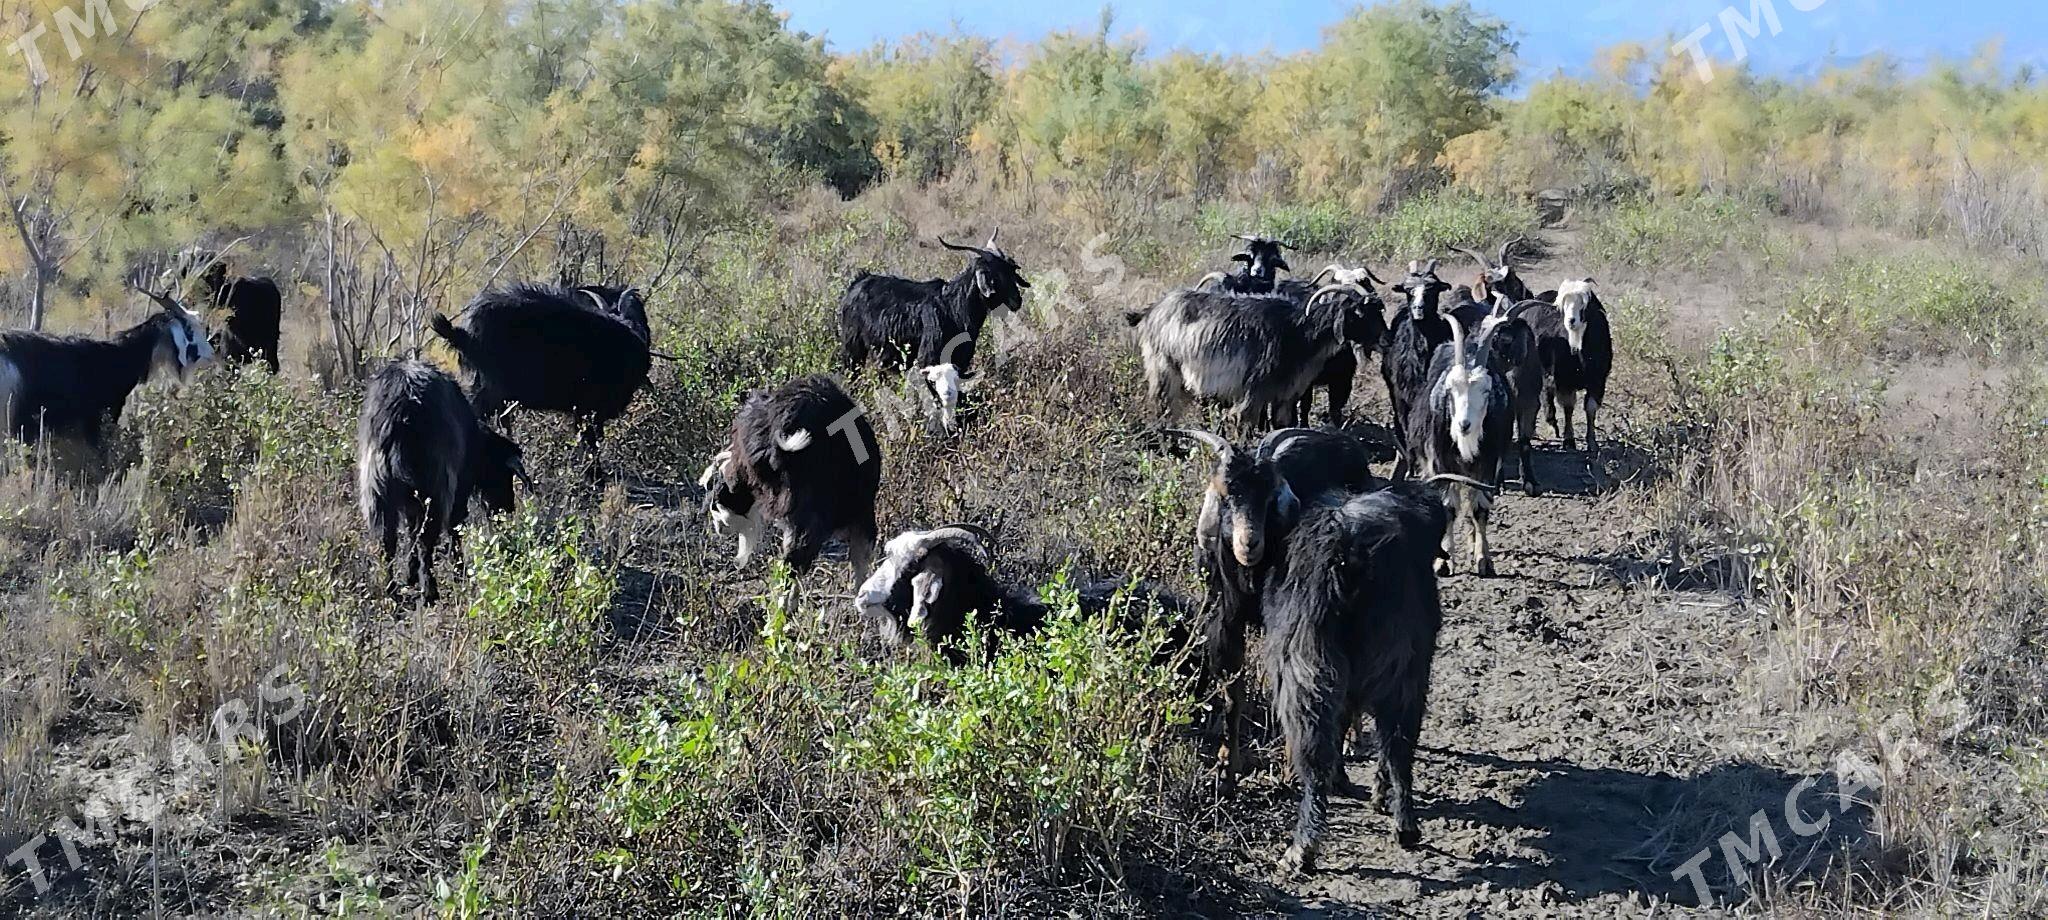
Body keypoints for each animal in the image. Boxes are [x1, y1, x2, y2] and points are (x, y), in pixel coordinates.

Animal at [356, 358, 528, 602]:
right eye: (504, 474)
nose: (508, 508)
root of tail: (399, 413)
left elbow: (410, 532)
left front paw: (410, 575)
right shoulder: (458, 491)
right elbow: (454, 529)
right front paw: (459, 572)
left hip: (378, 492)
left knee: (386, 541)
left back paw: (392, 591)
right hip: (435, 490)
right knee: (426, 540)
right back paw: (430, 590)